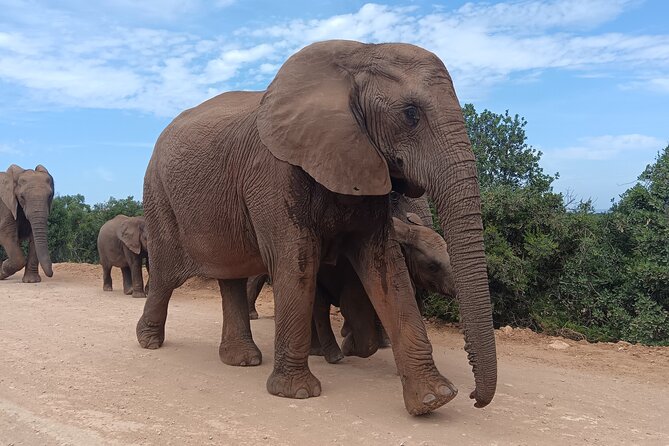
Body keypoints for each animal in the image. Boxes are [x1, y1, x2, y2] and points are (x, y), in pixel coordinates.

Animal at [136, 40, 496, 415]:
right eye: (411, 114)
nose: (475, 398)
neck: (358, 58)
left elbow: (386, 267)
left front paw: (433, 399)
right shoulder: (274, 172)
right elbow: (298, 259)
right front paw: (297, 392)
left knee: (229, 274)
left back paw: (242, 360)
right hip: (157, 191)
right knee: (166, 272)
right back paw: (149, 341)